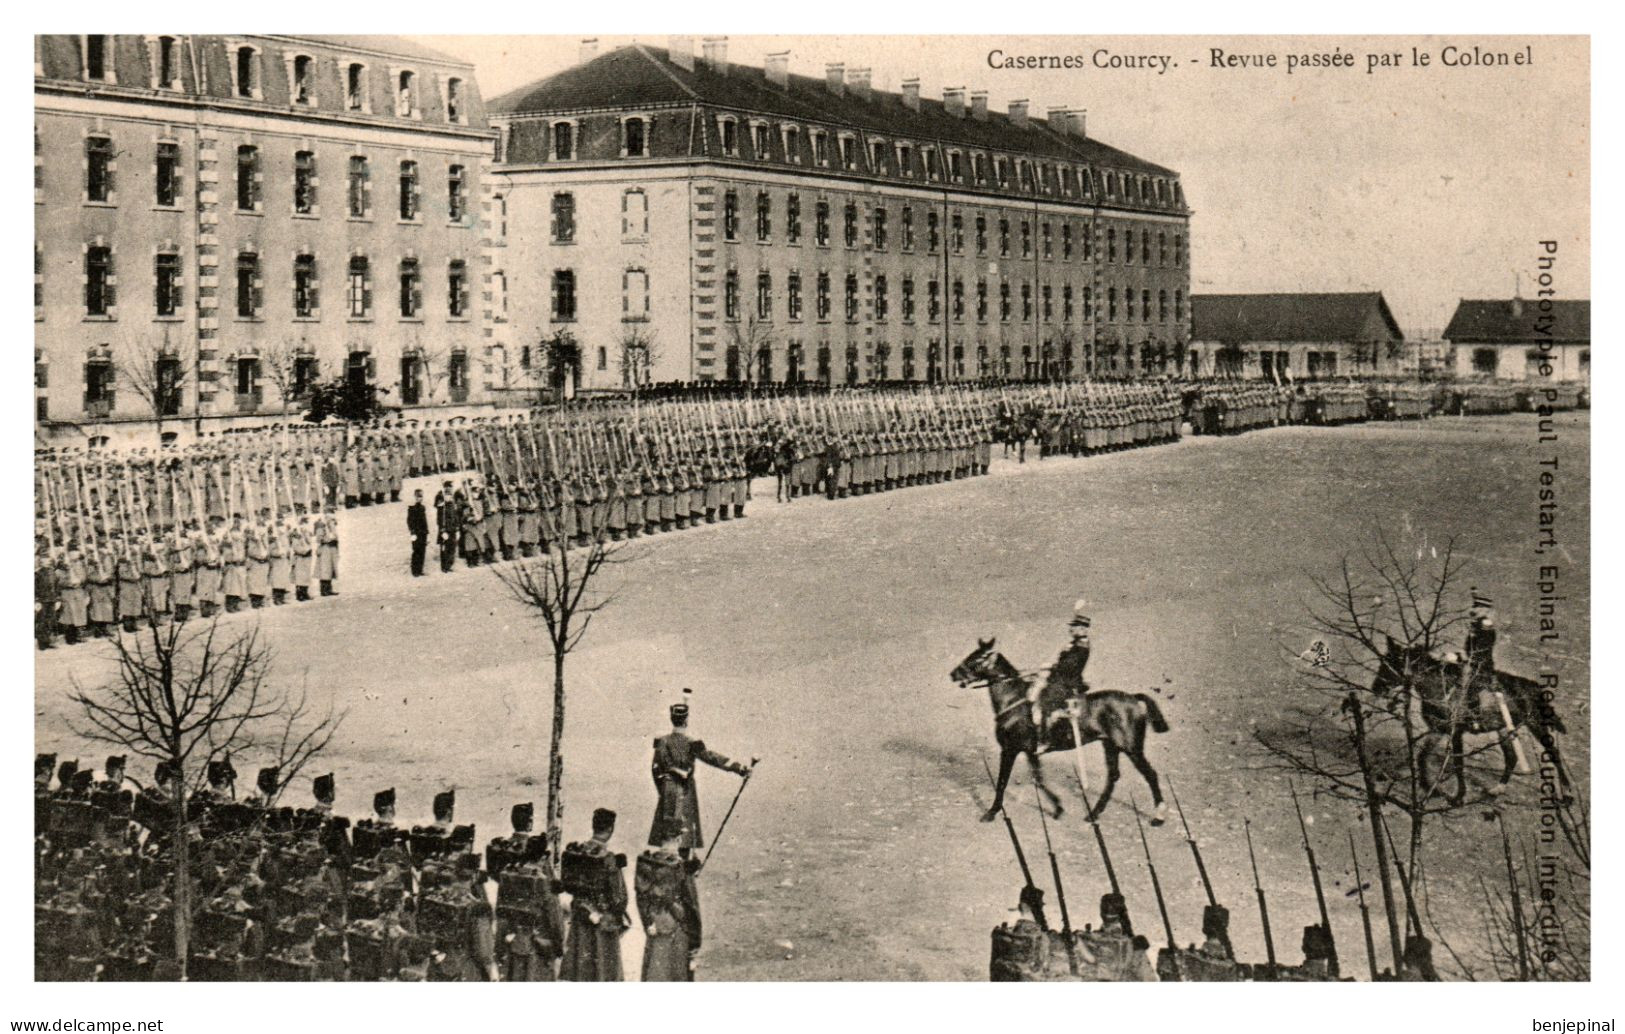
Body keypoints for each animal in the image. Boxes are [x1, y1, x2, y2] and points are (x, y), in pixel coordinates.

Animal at [949, 637, 1176, 822]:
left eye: (976, 658)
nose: (953, 674)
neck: (1014, 702)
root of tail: (1133, 699)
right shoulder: (1030, 752)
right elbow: (1039, 779)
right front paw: (1058, 807)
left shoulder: (1010, 749)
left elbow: (1003, 782)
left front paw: (991, 812)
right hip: (1110, 746)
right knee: (1113, 777)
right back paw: (1093, 814)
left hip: (1132, 749)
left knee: (1150, 775)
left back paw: (1158, 817)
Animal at [1371, 634, 1573, 803]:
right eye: (1382, 663)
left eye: (1390, 665)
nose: (1376, 688)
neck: (1441, 688)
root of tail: (1534, 687)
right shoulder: (1437, 730)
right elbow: (1422, 756)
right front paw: (1429, 788)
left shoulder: (1456, 733)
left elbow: (1458, 764)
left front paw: (1458, 796)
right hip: (1503, 729)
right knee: (1511, 758)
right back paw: (1497, 789)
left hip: (1536, 725)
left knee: (1554, 754)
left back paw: (1568, 794)